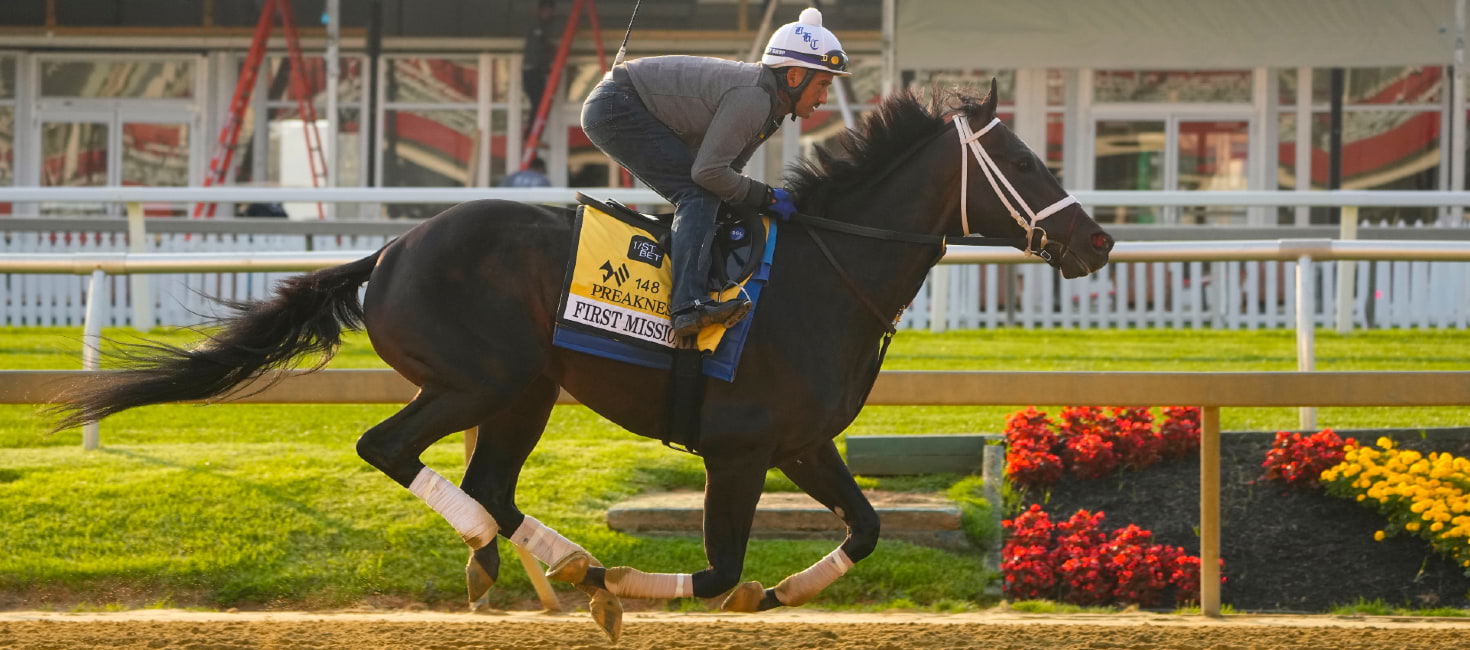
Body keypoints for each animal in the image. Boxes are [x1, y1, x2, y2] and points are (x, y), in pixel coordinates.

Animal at [54, 80, 1111, 641]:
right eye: (1025, 164)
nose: (1098, 244)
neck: (825, 272)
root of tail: (391, 250)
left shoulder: (804, 446)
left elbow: (866, 528)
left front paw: (782, 590)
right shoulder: (738, 450)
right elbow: (718, 567)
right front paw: (641, 590)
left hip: (524, 392)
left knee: (491, 484)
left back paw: (542, 563)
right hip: (476, 380)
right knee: (393, 451)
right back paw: (538, 564)